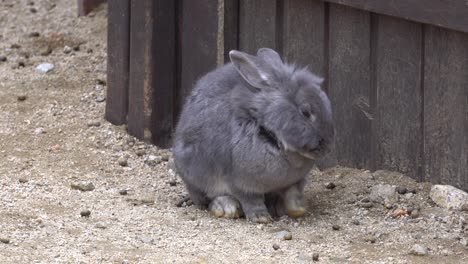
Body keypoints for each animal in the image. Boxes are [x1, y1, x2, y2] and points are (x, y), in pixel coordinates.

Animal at [173, 48, 332, 223]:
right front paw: (261, 217)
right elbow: (251, 200)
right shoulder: (241, 184)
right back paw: (227, 208)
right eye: (305, 112)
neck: (271, 133)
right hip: (197, 177)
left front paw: (298, 210)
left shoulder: (294, 182)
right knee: (208, 199)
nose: (327, 147)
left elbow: (292, 195)